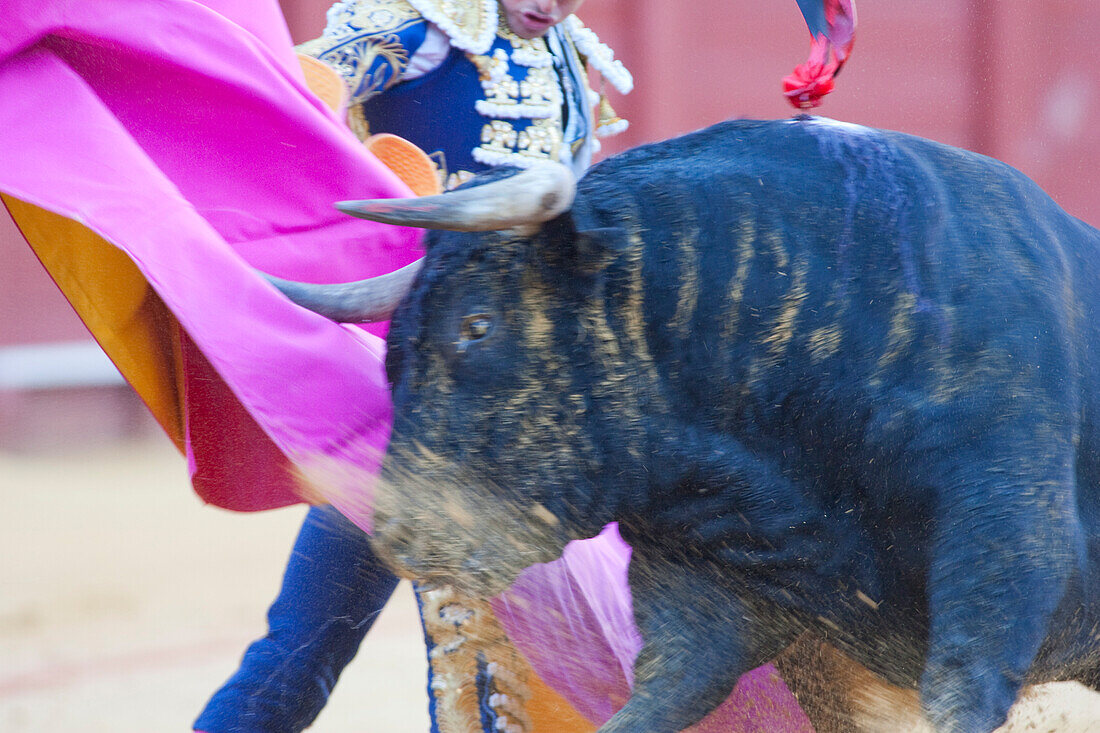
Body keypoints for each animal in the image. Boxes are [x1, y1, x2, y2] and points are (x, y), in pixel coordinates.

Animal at [268, 117, 1100, 726]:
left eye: (476, 324)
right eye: (391, 350)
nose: (398, 536)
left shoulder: (999, 551)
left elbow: (963, 684)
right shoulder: (700, 585)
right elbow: (662, 692)